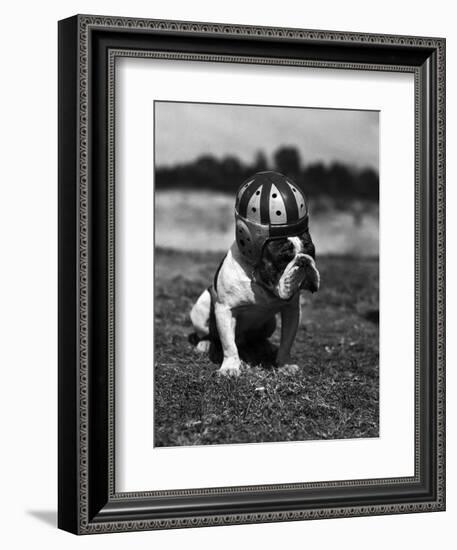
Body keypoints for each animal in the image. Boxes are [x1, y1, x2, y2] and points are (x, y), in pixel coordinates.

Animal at [187, 172, 318, 380]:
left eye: (311, 250)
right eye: (283, 258)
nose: (304, 261)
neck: (260, 280)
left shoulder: (291, 310)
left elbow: (287, 341)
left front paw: (284, 364)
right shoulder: (225, 310)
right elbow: (229, 345)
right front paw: (230, 367)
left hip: (270, 323)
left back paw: (263, 346)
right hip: (202, 305)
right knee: (209, 333)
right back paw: (205, 343)